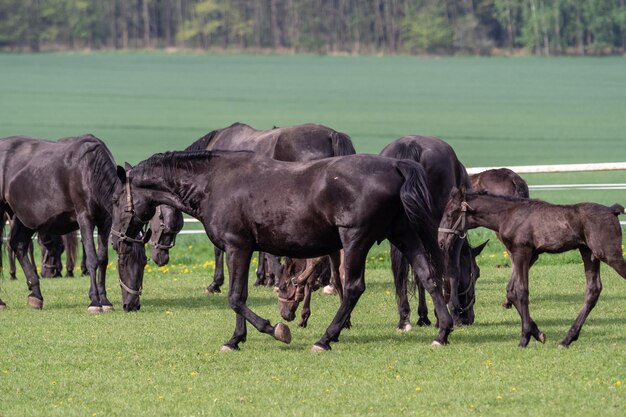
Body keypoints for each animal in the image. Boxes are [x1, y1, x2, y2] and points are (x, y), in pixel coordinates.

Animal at [0, 135, 144, 310]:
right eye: (123, 262)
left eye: (144, 261)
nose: (133, 305)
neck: (90, 170)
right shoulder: (85, 218)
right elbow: (92, 259)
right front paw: (94, 301)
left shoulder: (105, 222)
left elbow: (102, 260)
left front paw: (105, 301)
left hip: (24, 217)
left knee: (18, 244)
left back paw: (36, 295)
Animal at [108, 151, 448, 350]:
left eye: (114, 199)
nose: (114, 239)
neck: (214, 182)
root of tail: (395, 165)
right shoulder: (243, 250)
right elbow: (240, 296)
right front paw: (236, 339)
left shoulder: (237, 247)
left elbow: (235, 298)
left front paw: (274, 330)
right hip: (404, 235)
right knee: (429, 277)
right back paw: (442, 332)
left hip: (356, 241)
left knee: (352, 288)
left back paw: (326, 339)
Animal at [144, 122, 354, 292]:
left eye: (158, 218)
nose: (160, 257)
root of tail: (331, 134)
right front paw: (262, 278)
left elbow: (218, 250)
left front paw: (215, 283)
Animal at [438, 187, 624, 346]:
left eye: (450, 214)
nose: (440, 242)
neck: (508, 215)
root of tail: (612, 210)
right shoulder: (527, 255)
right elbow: (511, 291)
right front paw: (538, 334)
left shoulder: (522, 252)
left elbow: (521, 291)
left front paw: (525, 338)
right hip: (588, 253)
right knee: (593, 289)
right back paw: (567, 339)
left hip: (609, 255)